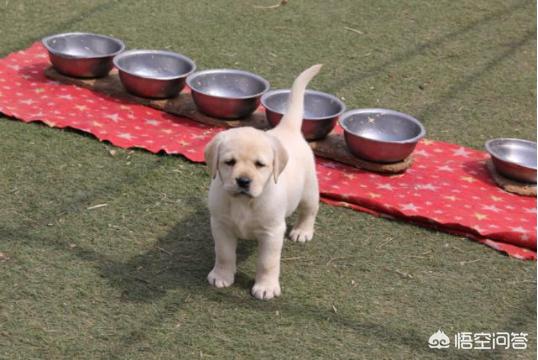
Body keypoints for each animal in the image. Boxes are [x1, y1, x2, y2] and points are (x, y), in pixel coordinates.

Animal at [201, 65, 318, 300]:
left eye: (260, 164)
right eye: (229, 162)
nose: (243, 181)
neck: (244, 203)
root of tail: (287, 128)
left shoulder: (272, 232)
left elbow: (267, 263)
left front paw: (266, 287)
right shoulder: (221, 225)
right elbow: (224, 253)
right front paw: (221, 275)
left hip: (309, 189)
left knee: (310, 209)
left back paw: (303, 231)